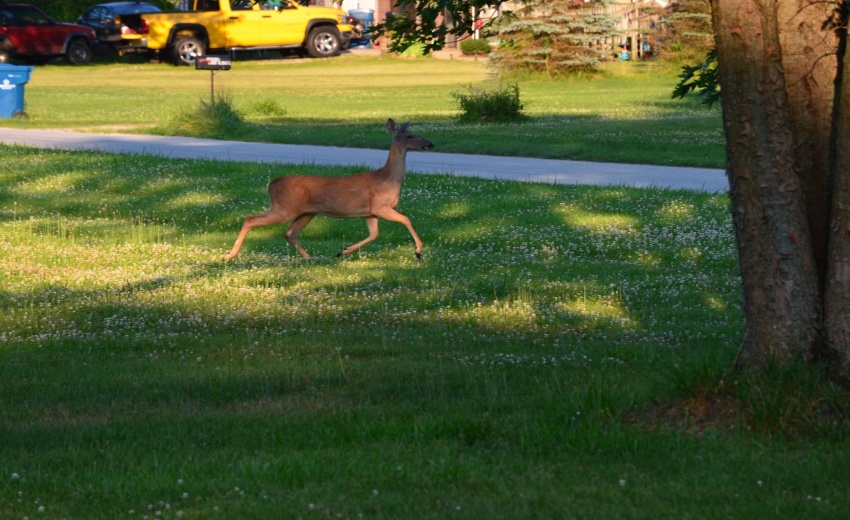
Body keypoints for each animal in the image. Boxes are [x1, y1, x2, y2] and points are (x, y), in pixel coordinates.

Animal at [223, 119, 434, 262]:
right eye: (410, 135)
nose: (430, 143)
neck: (389, 179)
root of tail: (272, 184)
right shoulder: (380, 206)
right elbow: (405, 219)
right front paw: (418, 251)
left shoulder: (370, 212)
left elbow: (374, 234)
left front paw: (342, 251)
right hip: (284, 208)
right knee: (251, 219)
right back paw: (230, 255)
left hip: (307, 212)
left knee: (289, 232)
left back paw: (309, 258)